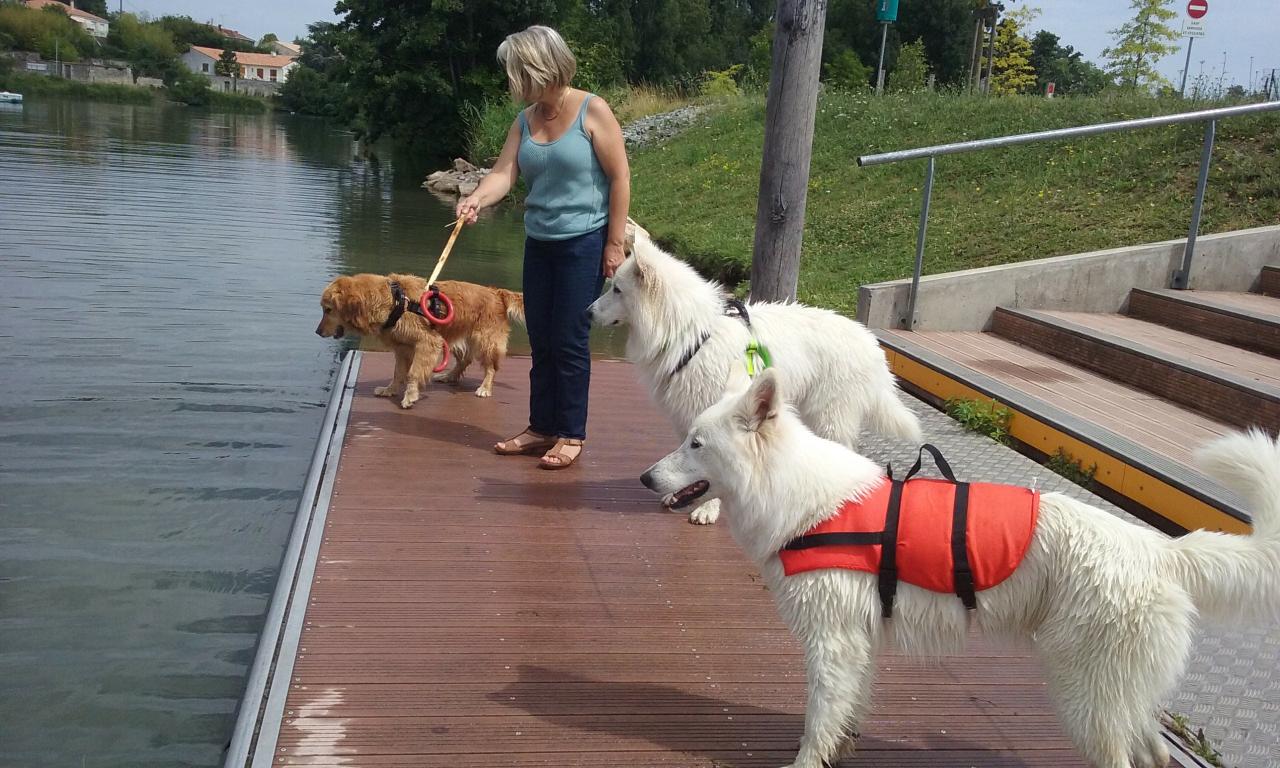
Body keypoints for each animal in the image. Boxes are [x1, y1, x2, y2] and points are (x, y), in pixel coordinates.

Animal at [645, 368, 1280, 768]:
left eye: (696, 444)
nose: (649, 478)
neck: (799, 495)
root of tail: (1159, 550)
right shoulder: (856, 645)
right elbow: (846, 714)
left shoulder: (831, 644)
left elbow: (817, 723)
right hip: (1113, 694)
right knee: (1152, 753)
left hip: (1084, 696)